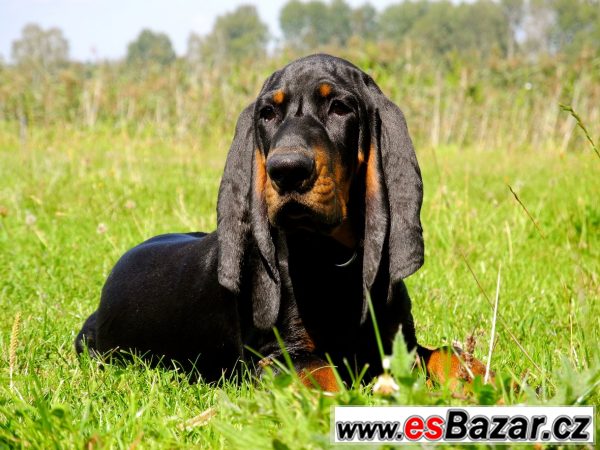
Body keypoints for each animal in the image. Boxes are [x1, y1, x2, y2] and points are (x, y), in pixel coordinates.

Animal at [76, 53, 488, 390]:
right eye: (267, 114)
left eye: (340, 107)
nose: (287, 170)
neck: (331, 258)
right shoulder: (279, 355)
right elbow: (325, 377)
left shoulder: (399, 343)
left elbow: (448, 354)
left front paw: (487, 382)